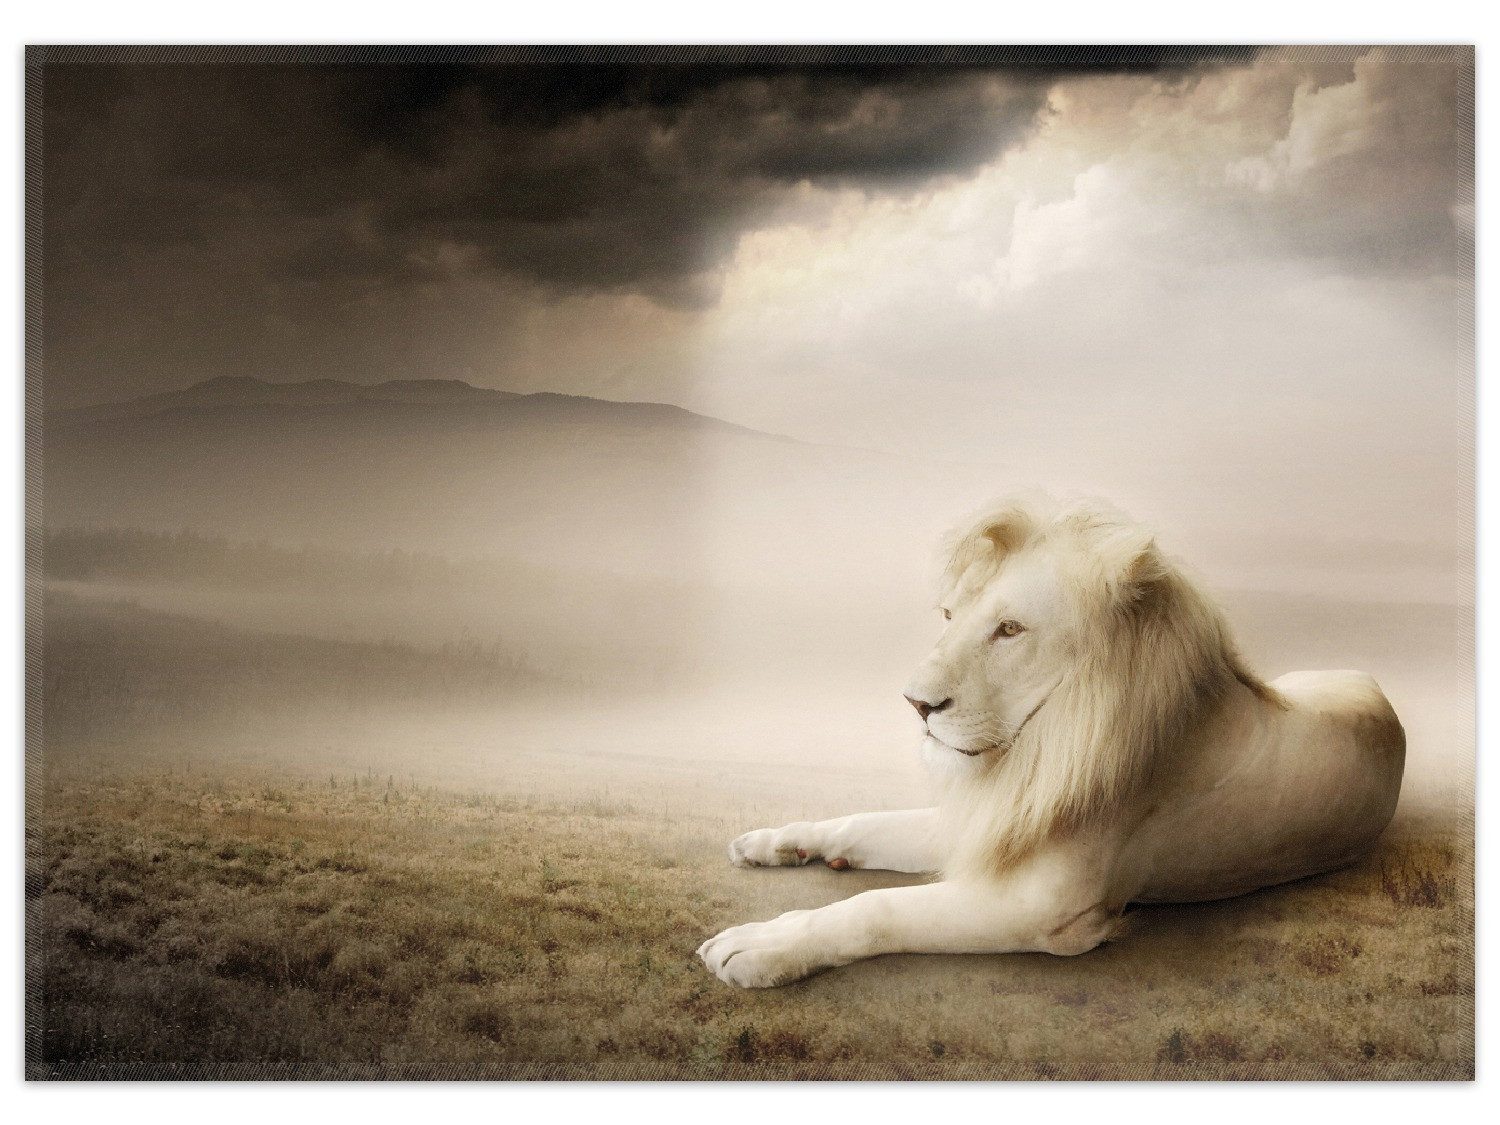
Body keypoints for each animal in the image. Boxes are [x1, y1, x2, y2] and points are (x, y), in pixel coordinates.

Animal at [698, 495, 1406, 988]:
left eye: (1010, 629)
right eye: (951, 616)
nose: (915, 704)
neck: (1034, 752)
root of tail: (1382, 694)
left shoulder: (1044, 909)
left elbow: (878, 909)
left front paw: (760, 947)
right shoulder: (991, 824)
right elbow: (865, 822)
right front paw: (779, 842)